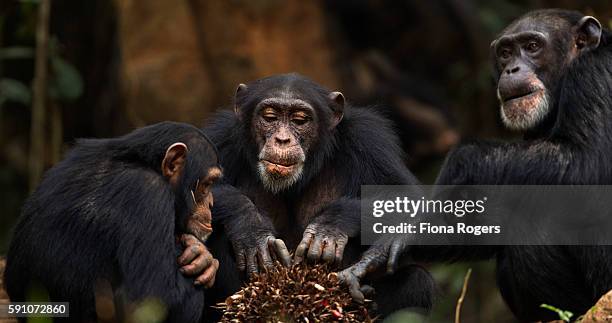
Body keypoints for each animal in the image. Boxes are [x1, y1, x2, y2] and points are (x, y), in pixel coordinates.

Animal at [202, 73, 436, 318]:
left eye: (300, 120)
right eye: (269, 117)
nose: (282, 139)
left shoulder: (368, 139)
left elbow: (404, 195)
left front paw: (330, 226)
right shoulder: (221, 136)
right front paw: (250, 226)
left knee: (418, 283)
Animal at [338, 8, 612, 322]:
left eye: (532, 46)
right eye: (505, 53)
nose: (511, 69)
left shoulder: (598, 74)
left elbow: (588, 160)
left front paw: (457, 162)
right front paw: (396, 241)